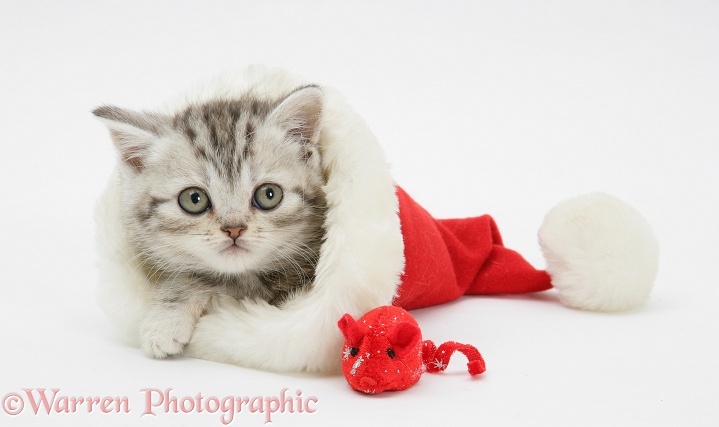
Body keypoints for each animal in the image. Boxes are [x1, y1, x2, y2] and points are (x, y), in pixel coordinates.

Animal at [94, 85, 328, 360]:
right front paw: (167, 319)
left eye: (269, 194)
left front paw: (164, 323)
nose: (234, 229)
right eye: (193, 199)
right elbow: (196, 278)